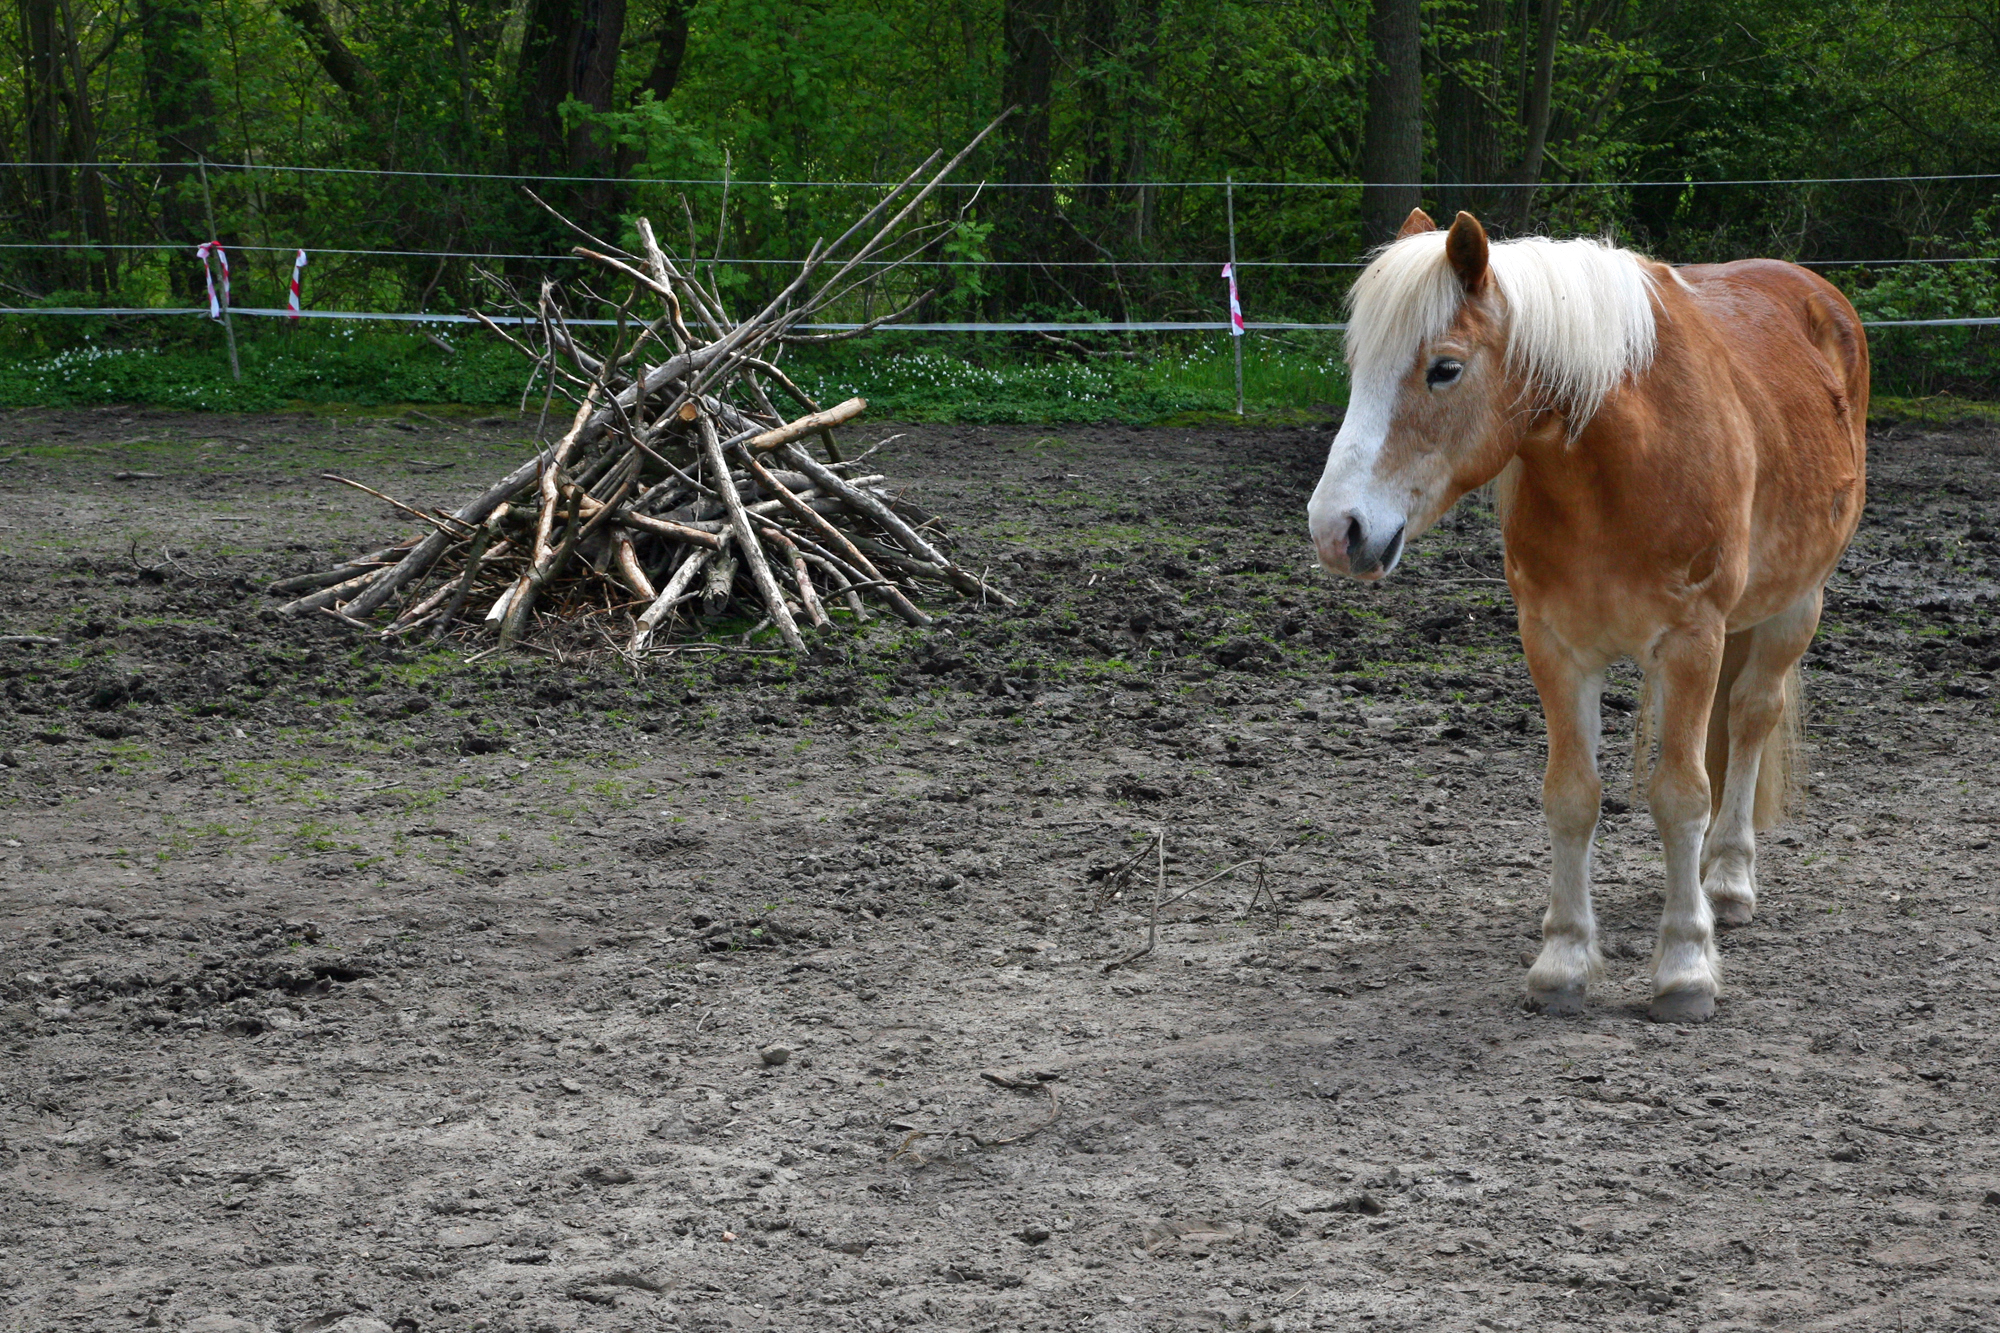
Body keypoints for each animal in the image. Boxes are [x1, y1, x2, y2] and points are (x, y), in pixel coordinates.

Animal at [1304, 208, 1864, 1016]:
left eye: (1445, 368)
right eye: (1358, 366)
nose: (1335, 529)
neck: (1623, 463)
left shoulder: (1691, 640)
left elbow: (1681, 795)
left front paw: (1685, 967)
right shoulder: (1554, 645)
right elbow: (1571, 796)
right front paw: (1564, 959)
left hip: (1794, 605)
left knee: (1752, 716)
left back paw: (1727, 880)